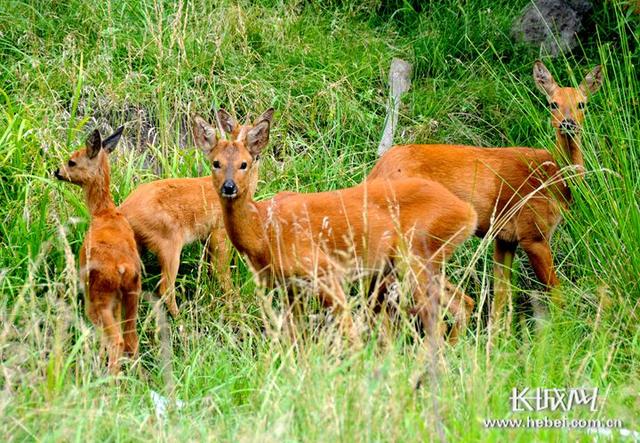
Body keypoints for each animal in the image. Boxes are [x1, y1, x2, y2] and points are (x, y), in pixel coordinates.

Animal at [53, 127, 141, 374]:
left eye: (72, 161)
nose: (57, 171)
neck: (103, 213)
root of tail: (123, 269)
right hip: (132, 294)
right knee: (131, 339)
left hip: (98, 298)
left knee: (116, 340)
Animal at [119, 108, 274, 318]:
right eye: (216, 163)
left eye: (245, 162)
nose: (230, 187)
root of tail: (123, 209)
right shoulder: (219, 232)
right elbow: (221, 273)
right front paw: (235, 308)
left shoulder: (206, 237)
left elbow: (209, 270)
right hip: (169, 241)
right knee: (165, 287)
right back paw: (180, 319)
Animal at [195, 113, 480, 344]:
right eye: (216, 162)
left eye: (244, 163)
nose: (229, 187)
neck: (263, 230)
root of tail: (468, 213)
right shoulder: (291, 287)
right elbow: (298, 337)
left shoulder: (325, 270)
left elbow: (349, 331)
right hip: (420, 262)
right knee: (463, 304)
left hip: (414, 257)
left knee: (439, 322)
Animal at [368, 60, 604, 328]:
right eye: (553, 103)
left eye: (582, 104)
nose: (568, 123)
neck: (555, 178)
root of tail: (376, 172)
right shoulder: (533, 233)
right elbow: (555, 292)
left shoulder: (505, 238)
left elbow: (500, 297)